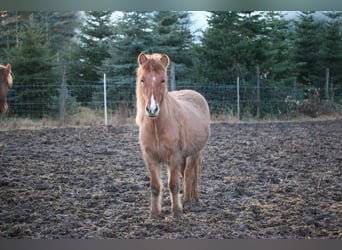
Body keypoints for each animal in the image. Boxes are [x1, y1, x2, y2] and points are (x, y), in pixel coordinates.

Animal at [135, 53, 210, 219]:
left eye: (163, 80)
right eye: (142, 80)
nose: (152, 109)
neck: (157, 127)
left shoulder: (174, 157)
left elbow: (173, 185)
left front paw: (176, 212)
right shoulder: (150, 159)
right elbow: (155, 186)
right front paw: (154, 214)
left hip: (194, 153)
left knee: (189, 175)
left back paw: (189, 201)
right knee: (185, 174)